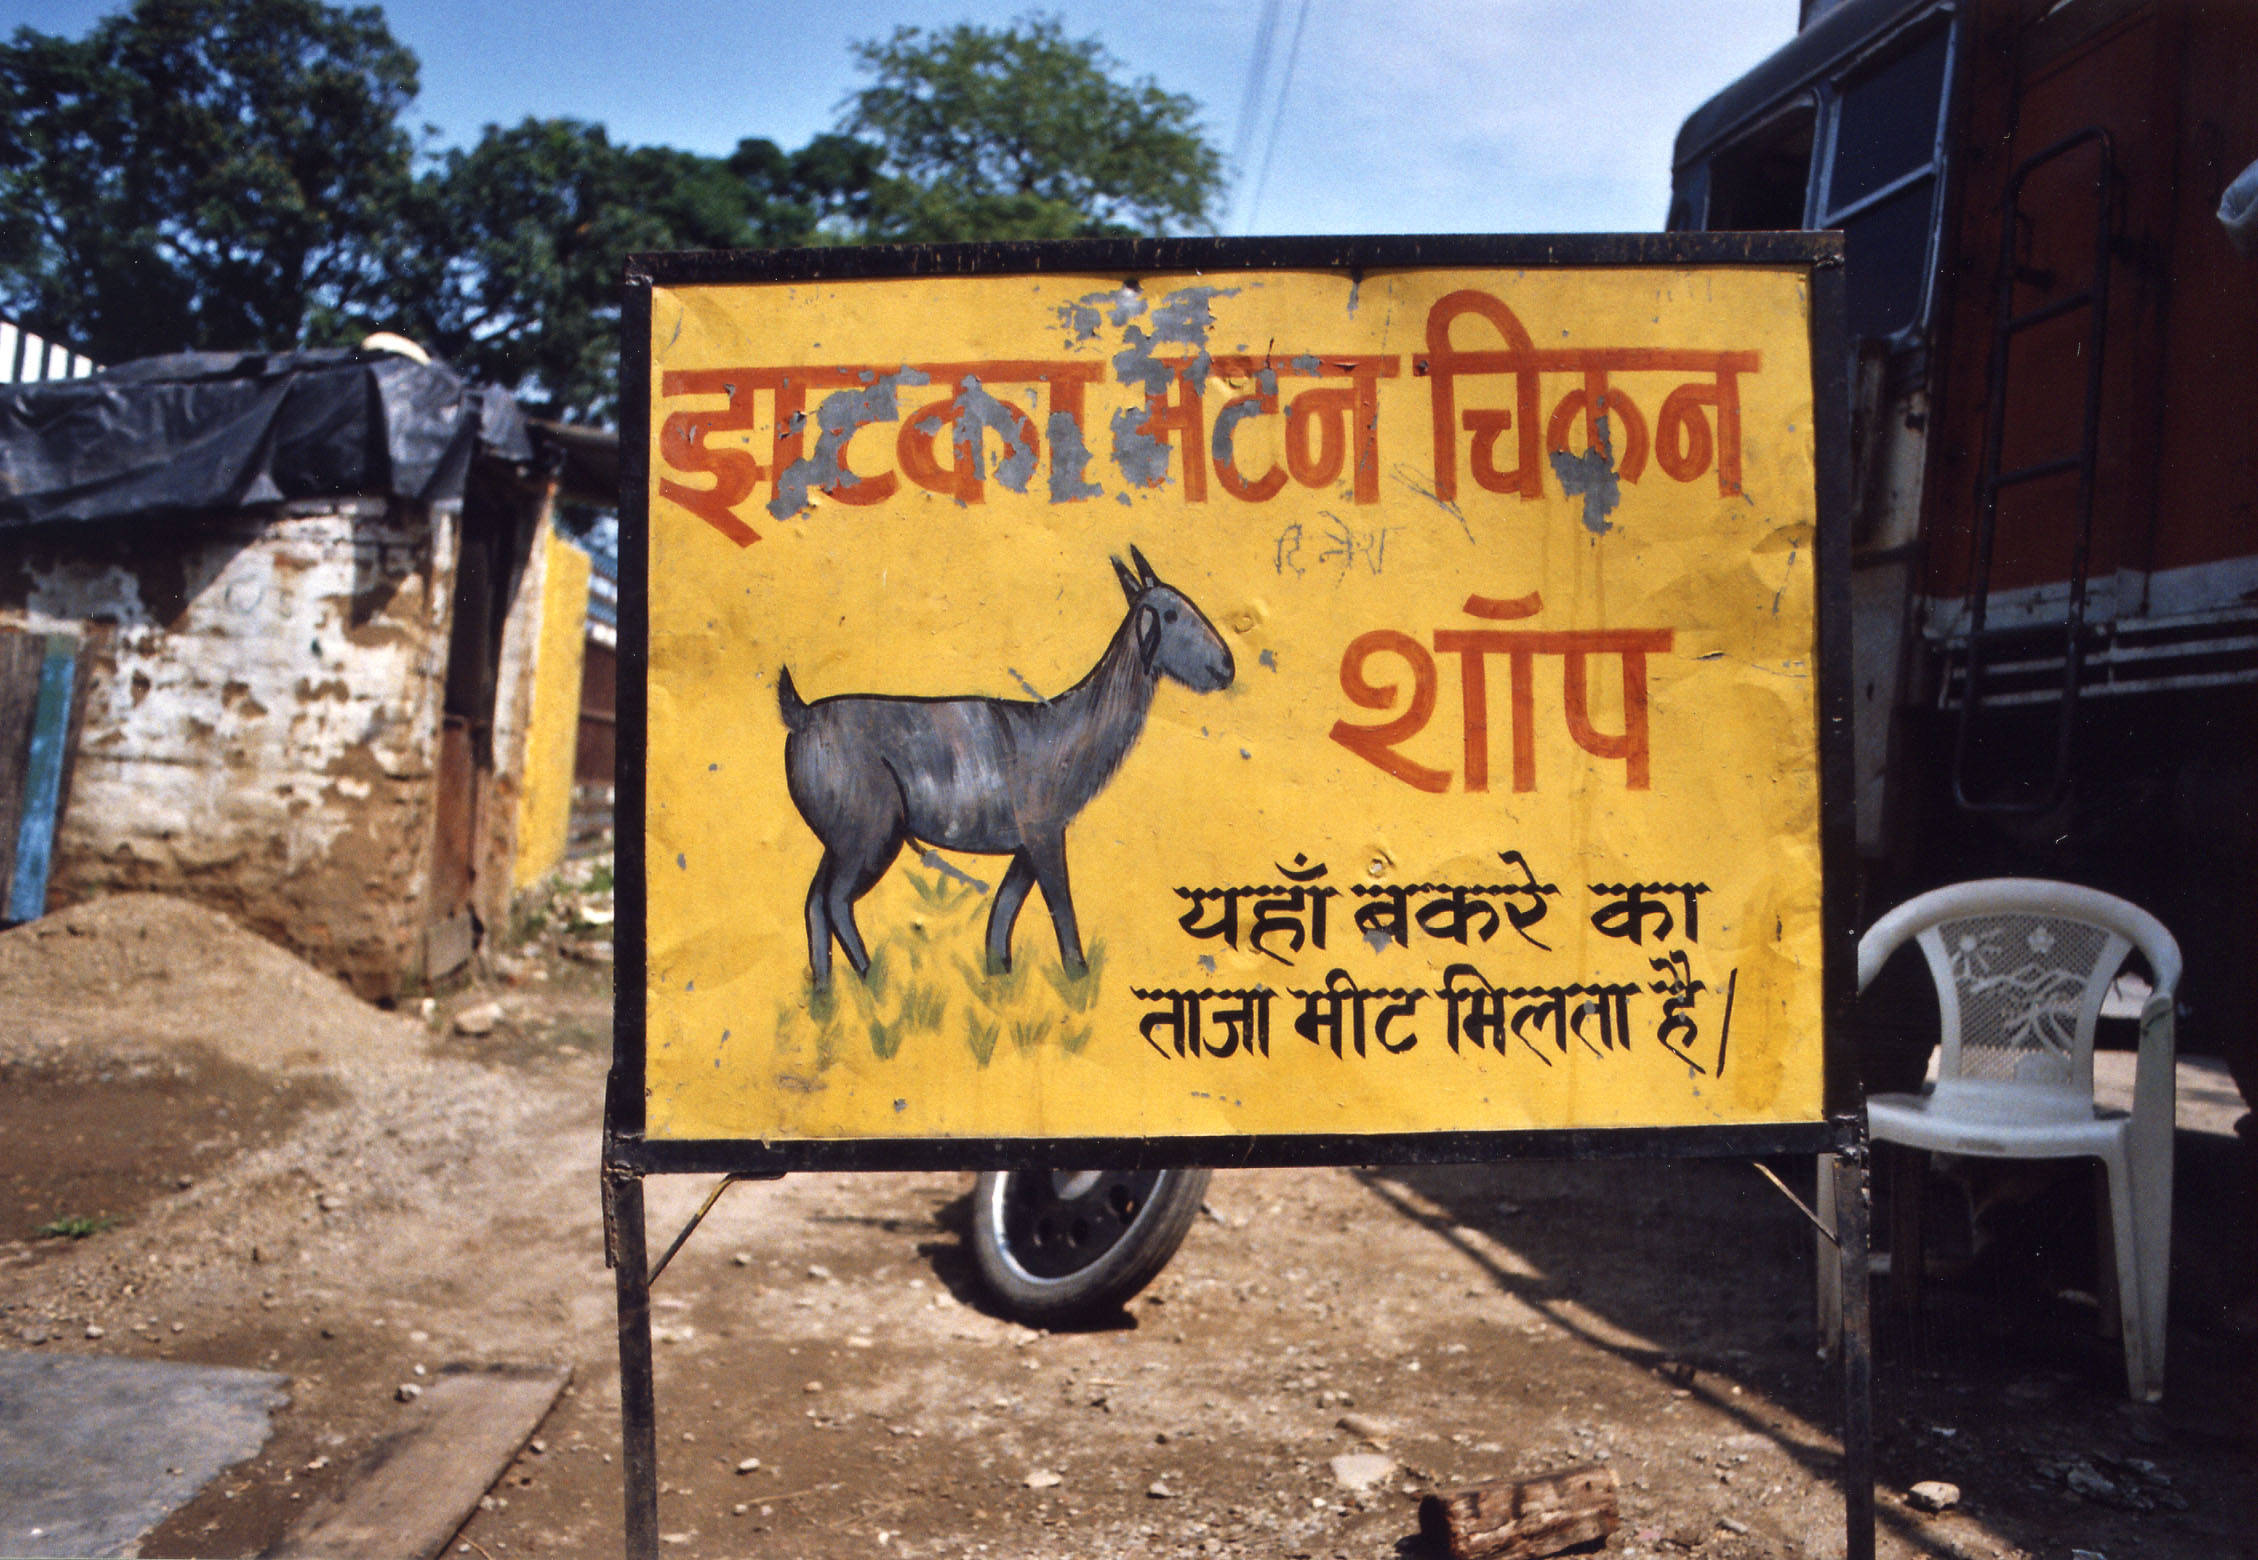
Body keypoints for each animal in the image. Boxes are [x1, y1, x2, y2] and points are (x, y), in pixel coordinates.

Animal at [781, 548, 1237, 988]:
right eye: (1171, 613)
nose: (1226, 667)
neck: (1063, 729)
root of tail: (800, 715)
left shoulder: (1025, 845)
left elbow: (1002, 916)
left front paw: (1001, 981)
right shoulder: (1044, 834)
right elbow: (1060, 908)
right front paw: (1078, 976)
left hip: (839, 840)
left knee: (813, 900)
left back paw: (824, 990)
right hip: (870, 834)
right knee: (836, 900)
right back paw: (871, 980)